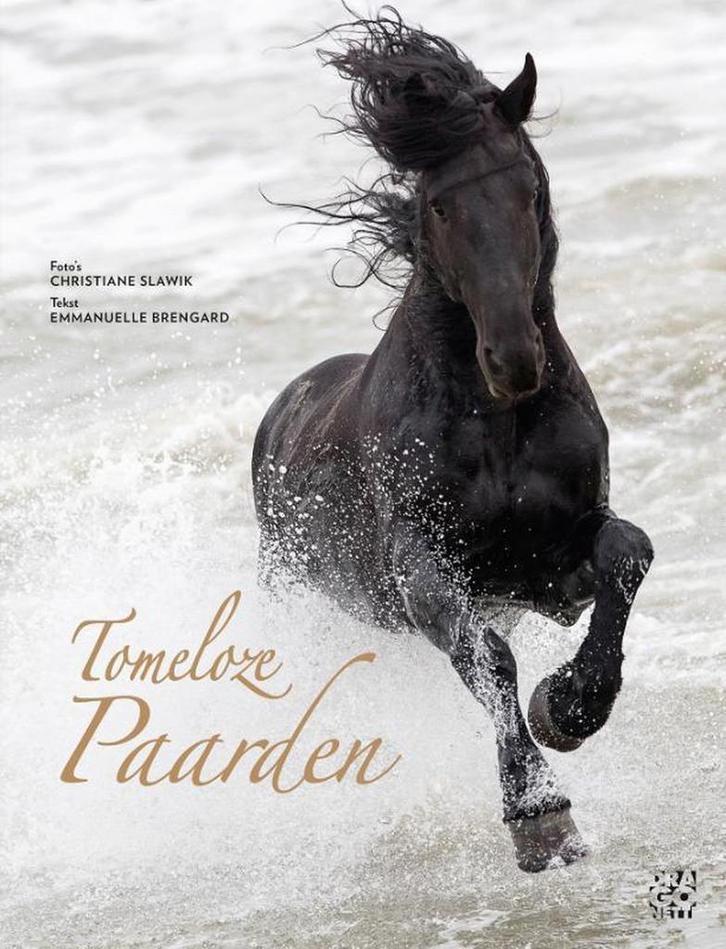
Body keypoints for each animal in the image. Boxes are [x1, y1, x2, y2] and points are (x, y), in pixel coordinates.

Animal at [252, 9, 653, 872]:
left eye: (528, 186)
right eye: (438, 206)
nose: (513, 359)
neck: (498, 423)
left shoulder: (551, 570)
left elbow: (626, 553)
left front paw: (568, 706)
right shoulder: (424, 571)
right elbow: (489, 657)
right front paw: (541, 816)